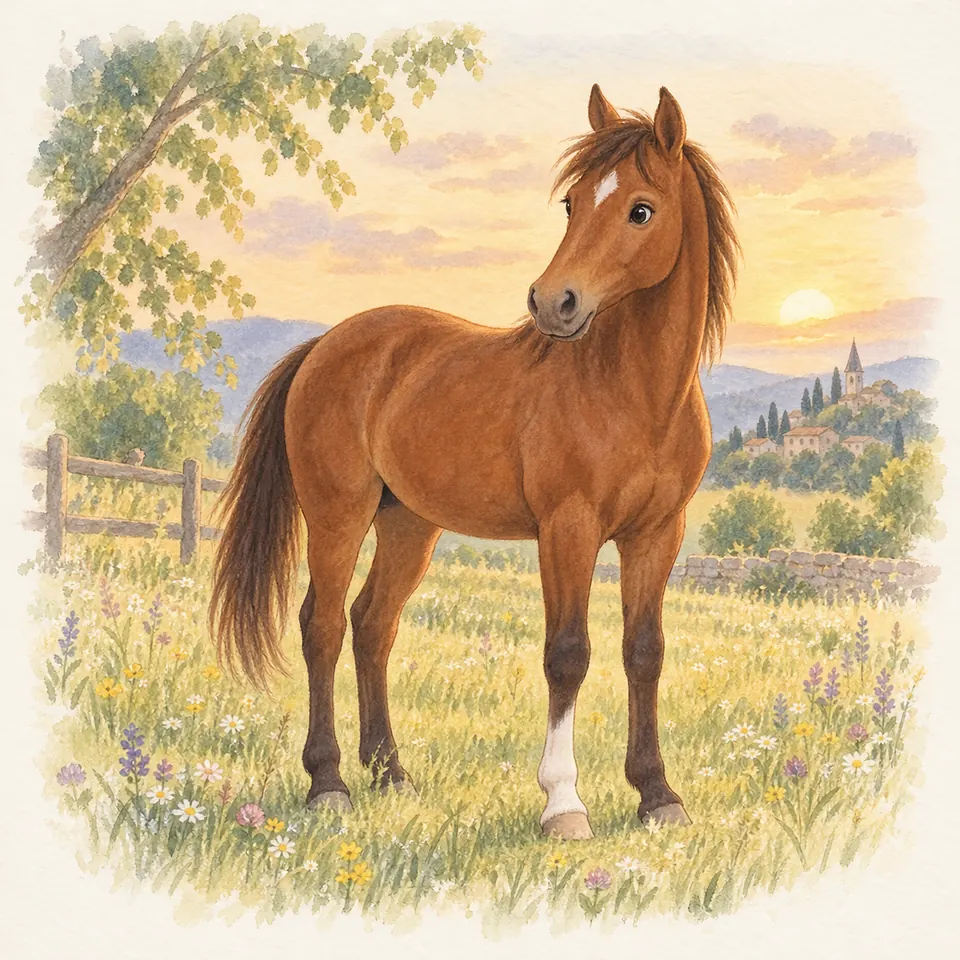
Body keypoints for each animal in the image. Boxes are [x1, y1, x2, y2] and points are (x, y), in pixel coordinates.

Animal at [210, 85, 739, 841]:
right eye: (572, 203)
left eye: (641, 209)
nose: (554, 302)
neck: (634, 392)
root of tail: (326, 345)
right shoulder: (567, 530)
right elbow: (567, 655)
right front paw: (563, 804)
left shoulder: (657, 535)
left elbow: (645, 653)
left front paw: (658, 795)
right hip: (338, 515)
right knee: (323, 625)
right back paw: (328, 783)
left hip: (409, 523)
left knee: (374, 624)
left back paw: (392, 775)